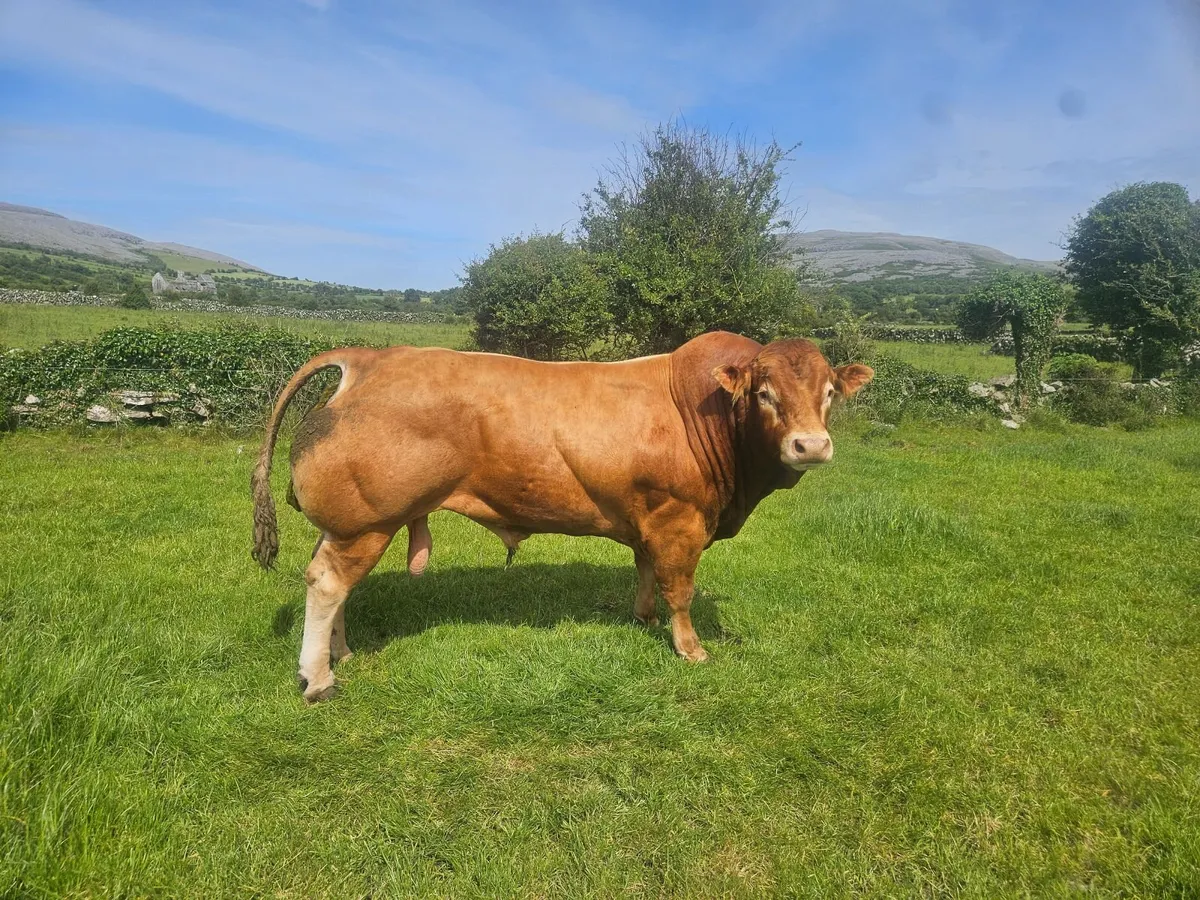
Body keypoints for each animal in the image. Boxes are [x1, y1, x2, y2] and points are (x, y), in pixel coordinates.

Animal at [251, 331, 872, 702]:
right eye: (764, 393)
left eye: (830, 391)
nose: (811, 446)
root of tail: (367, 356)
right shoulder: (681, 519)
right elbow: (680, 588)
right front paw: (690, 648)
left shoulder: (647, 518)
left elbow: (645, 570)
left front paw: (643, 617)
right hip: (368, 521)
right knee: (327, 582)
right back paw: (319, 677)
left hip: (348, 524)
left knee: (330, 579)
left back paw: (341, 652)